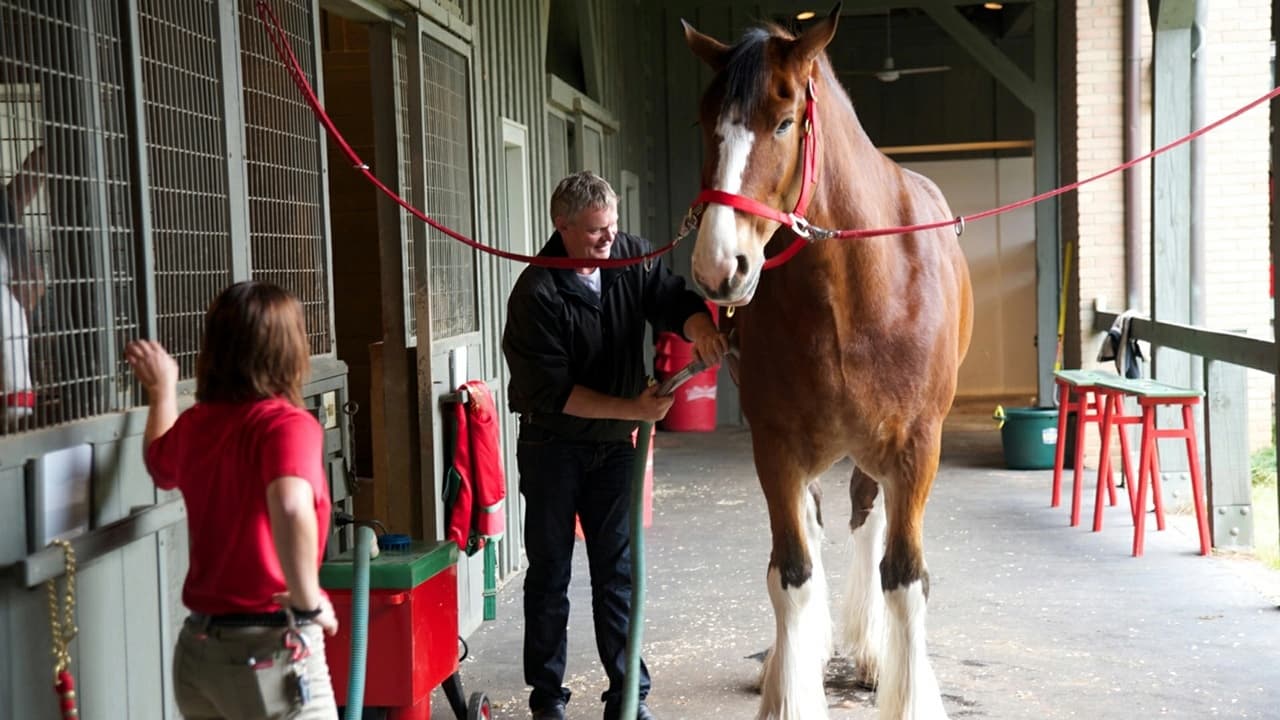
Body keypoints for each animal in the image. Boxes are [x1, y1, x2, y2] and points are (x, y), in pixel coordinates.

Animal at [680, 7, 967, 717]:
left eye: (784, 122)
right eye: (704, 123)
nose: (719, 268)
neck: (853, 289)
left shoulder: (915, 446)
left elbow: (905, 579)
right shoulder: (775, 445)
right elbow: (791, 573)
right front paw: (789, 686)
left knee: (868, 516)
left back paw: (870, 651)